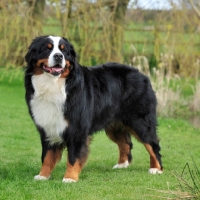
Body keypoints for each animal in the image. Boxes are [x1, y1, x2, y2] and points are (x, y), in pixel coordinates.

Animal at [24, 35, 162, 183]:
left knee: (152, 144)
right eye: (47, 48)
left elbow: (73, 157)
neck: (52, 85)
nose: (59, 56)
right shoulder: (48, 127)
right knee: (126, 143)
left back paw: (156, 169)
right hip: (113, 124)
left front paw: (70, 178)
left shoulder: (77, 129)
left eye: (63, 50)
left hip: (140, 122)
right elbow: (47, 156)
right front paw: (43, 176)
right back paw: (121, 165)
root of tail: (142, 75)